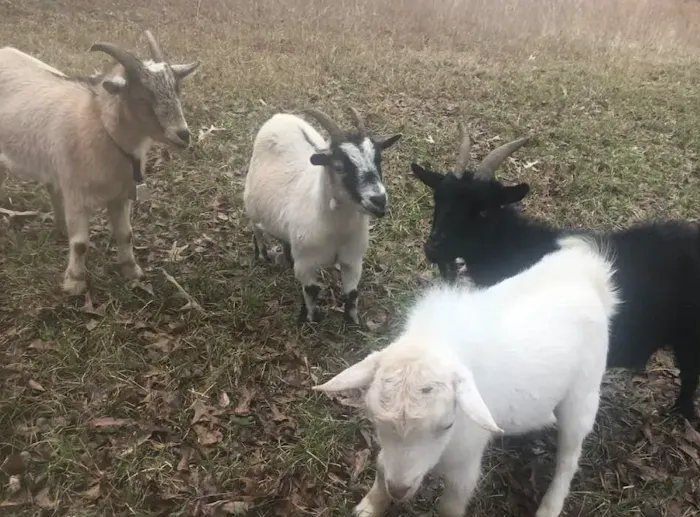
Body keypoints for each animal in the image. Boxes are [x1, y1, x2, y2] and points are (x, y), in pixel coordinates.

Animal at [0, 31, 200, 295]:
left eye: (177, 90)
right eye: (141, 97)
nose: (183, 135)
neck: (100, 125)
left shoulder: (121, 196)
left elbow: (126, 234)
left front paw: (131, 270)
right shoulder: (76, 196)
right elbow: (80, 244)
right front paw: (75, 283)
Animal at [243, 108, 402, 324]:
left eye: (379, 160)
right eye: (339, 166)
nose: (379, 200)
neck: (335, 229)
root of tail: (280, 116)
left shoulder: (352, 260)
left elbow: (352, 293)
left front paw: (353, 322)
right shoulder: (305, 264)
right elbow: (311, 290)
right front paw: (311, 320)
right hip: (251, 204)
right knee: (256, 229)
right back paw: (262, 255)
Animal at [315, 235, 619, 517]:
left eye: (447, 425)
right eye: (375, 421)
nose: (399, 490)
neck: (435, 339)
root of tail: (589, 273)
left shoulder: (466, 458)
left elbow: (451, 504)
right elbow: (381, 466)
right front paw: (371, 505)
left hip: (583, 394)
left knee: (569, 457)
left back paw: (550, 506)